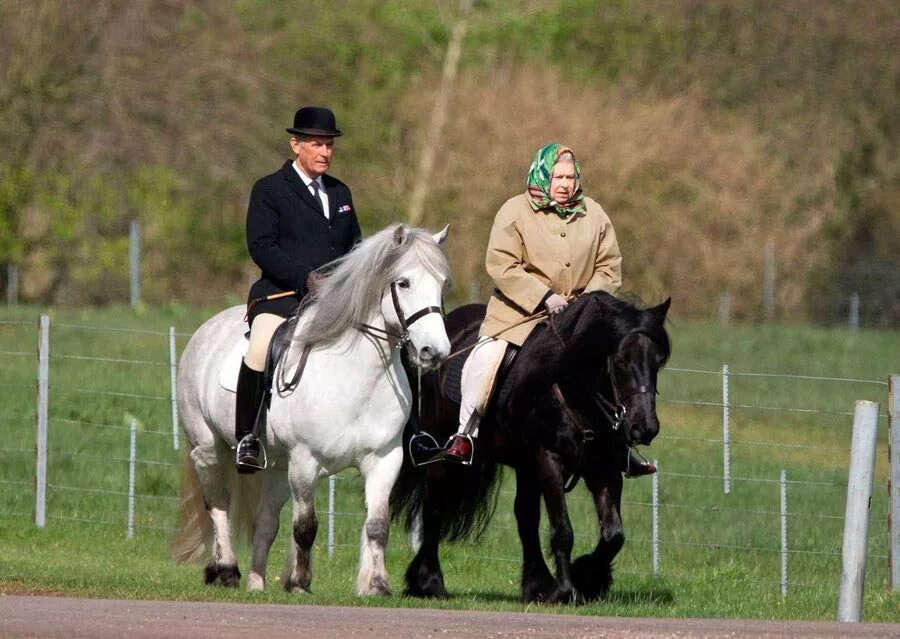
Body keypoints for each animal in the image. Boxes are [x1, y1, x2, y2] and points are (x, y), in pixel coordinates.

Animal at [171, 224, 450, 596]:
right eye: (403, 282)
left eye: (443, 283)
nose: (434, 351)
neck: (355, 376)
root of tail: (207, 329)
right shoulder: (305, 460)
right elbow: (305, 527)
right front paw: (300, 583)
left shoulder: (385, 459)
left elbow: (377, 526)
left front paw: (376, 585)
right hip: (207, 449)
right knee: (218, 505)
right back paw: (226, 571)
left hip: (275, 465)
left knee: (265, 521)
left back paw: (257, 583)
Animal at [390, 292, 672, 604]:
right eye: (621, 361)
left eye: (658, 361)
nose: (644, 427)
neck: (574, 390)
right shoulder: (549, 460)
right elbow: (563, 531)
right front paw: (567, 590)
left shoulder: (603, 467)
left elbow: (614, 535)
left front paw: (587, 578)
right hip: (443, 453)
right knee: (434, 508)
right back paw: (429, 582)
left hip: (525, 466)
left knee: (524, 516)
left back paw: (537, 585)